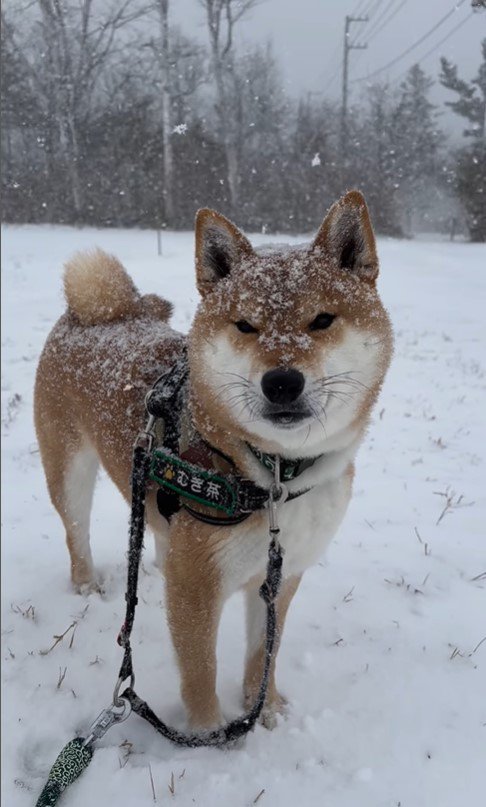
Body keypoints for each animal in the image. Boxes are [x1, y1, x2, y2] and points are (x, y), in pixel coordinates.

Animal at [34, 189, 392, 732]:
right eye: (245, 325)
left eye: (322, 320)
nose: (281, 382)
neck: (273, 478)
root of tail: (95, 312)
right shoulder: (196, 590)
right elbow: (200, 672)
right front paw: (208, 737)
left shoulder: (279, 577)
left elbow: (264, 652)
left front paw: (264, 710)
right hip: (68, 474)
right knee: (76, 532)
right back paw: (86, 584)